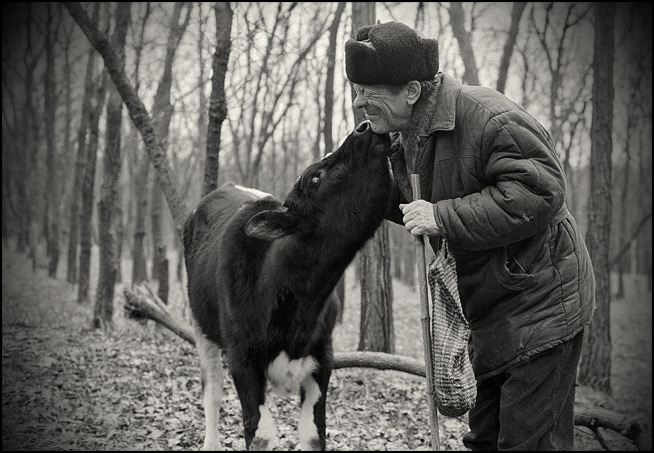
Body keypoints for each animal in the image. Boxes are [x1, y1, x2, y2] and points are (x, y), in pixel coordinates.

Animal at [182, 121, 392, 448]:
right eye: (314, 177)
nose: (364, 126)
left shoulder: (323, 357)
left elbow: (313, 433)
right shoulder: (242, 360)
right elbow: (261, 435)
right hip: (199, 323)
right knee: (211, 393)